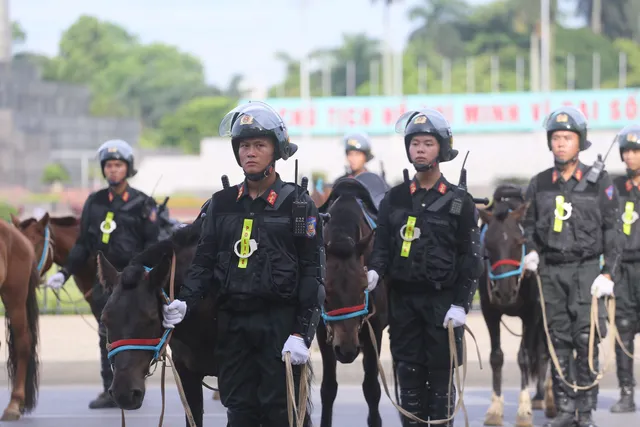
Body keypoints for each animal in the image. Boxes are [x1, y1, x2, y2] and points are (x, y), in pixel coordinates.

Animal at [316, 178, 388, 427]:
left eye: (363, 290)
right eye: (326, 297)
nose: (347, 350)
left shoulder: (374, 328)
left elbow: (372, 388)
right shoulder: (322, 331)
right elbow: (328, 388)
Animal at [480, 188, 556, 427]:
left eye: (518, 241)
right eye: (488, 244)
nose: (505, 292)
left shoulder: (531, 313)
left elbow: (523, 356)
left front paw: (523, 411)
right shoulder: (490, 311)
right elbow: (496, 357)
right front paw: (495, 409)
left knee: (548, 349)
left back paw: (549, 398)